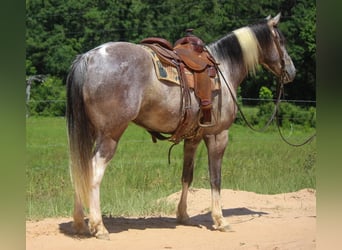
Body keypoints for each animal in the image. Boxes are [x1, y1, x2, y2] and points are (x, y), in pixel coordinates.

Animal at [66, 12, 294, 239]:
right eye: (282, 41)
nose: (291, 71)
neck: (224, 69)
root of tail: (88, 57)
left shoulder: (193, 138)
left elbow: (187, 176)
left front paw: (183, 215)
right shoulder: (218, 135)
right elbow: (215, 178)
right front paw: (220, 220)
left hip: (89, 134)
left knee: (78, 169)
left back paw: (79, 224)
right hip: (110, 135)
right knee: (93, 172)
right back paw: (99, 226)